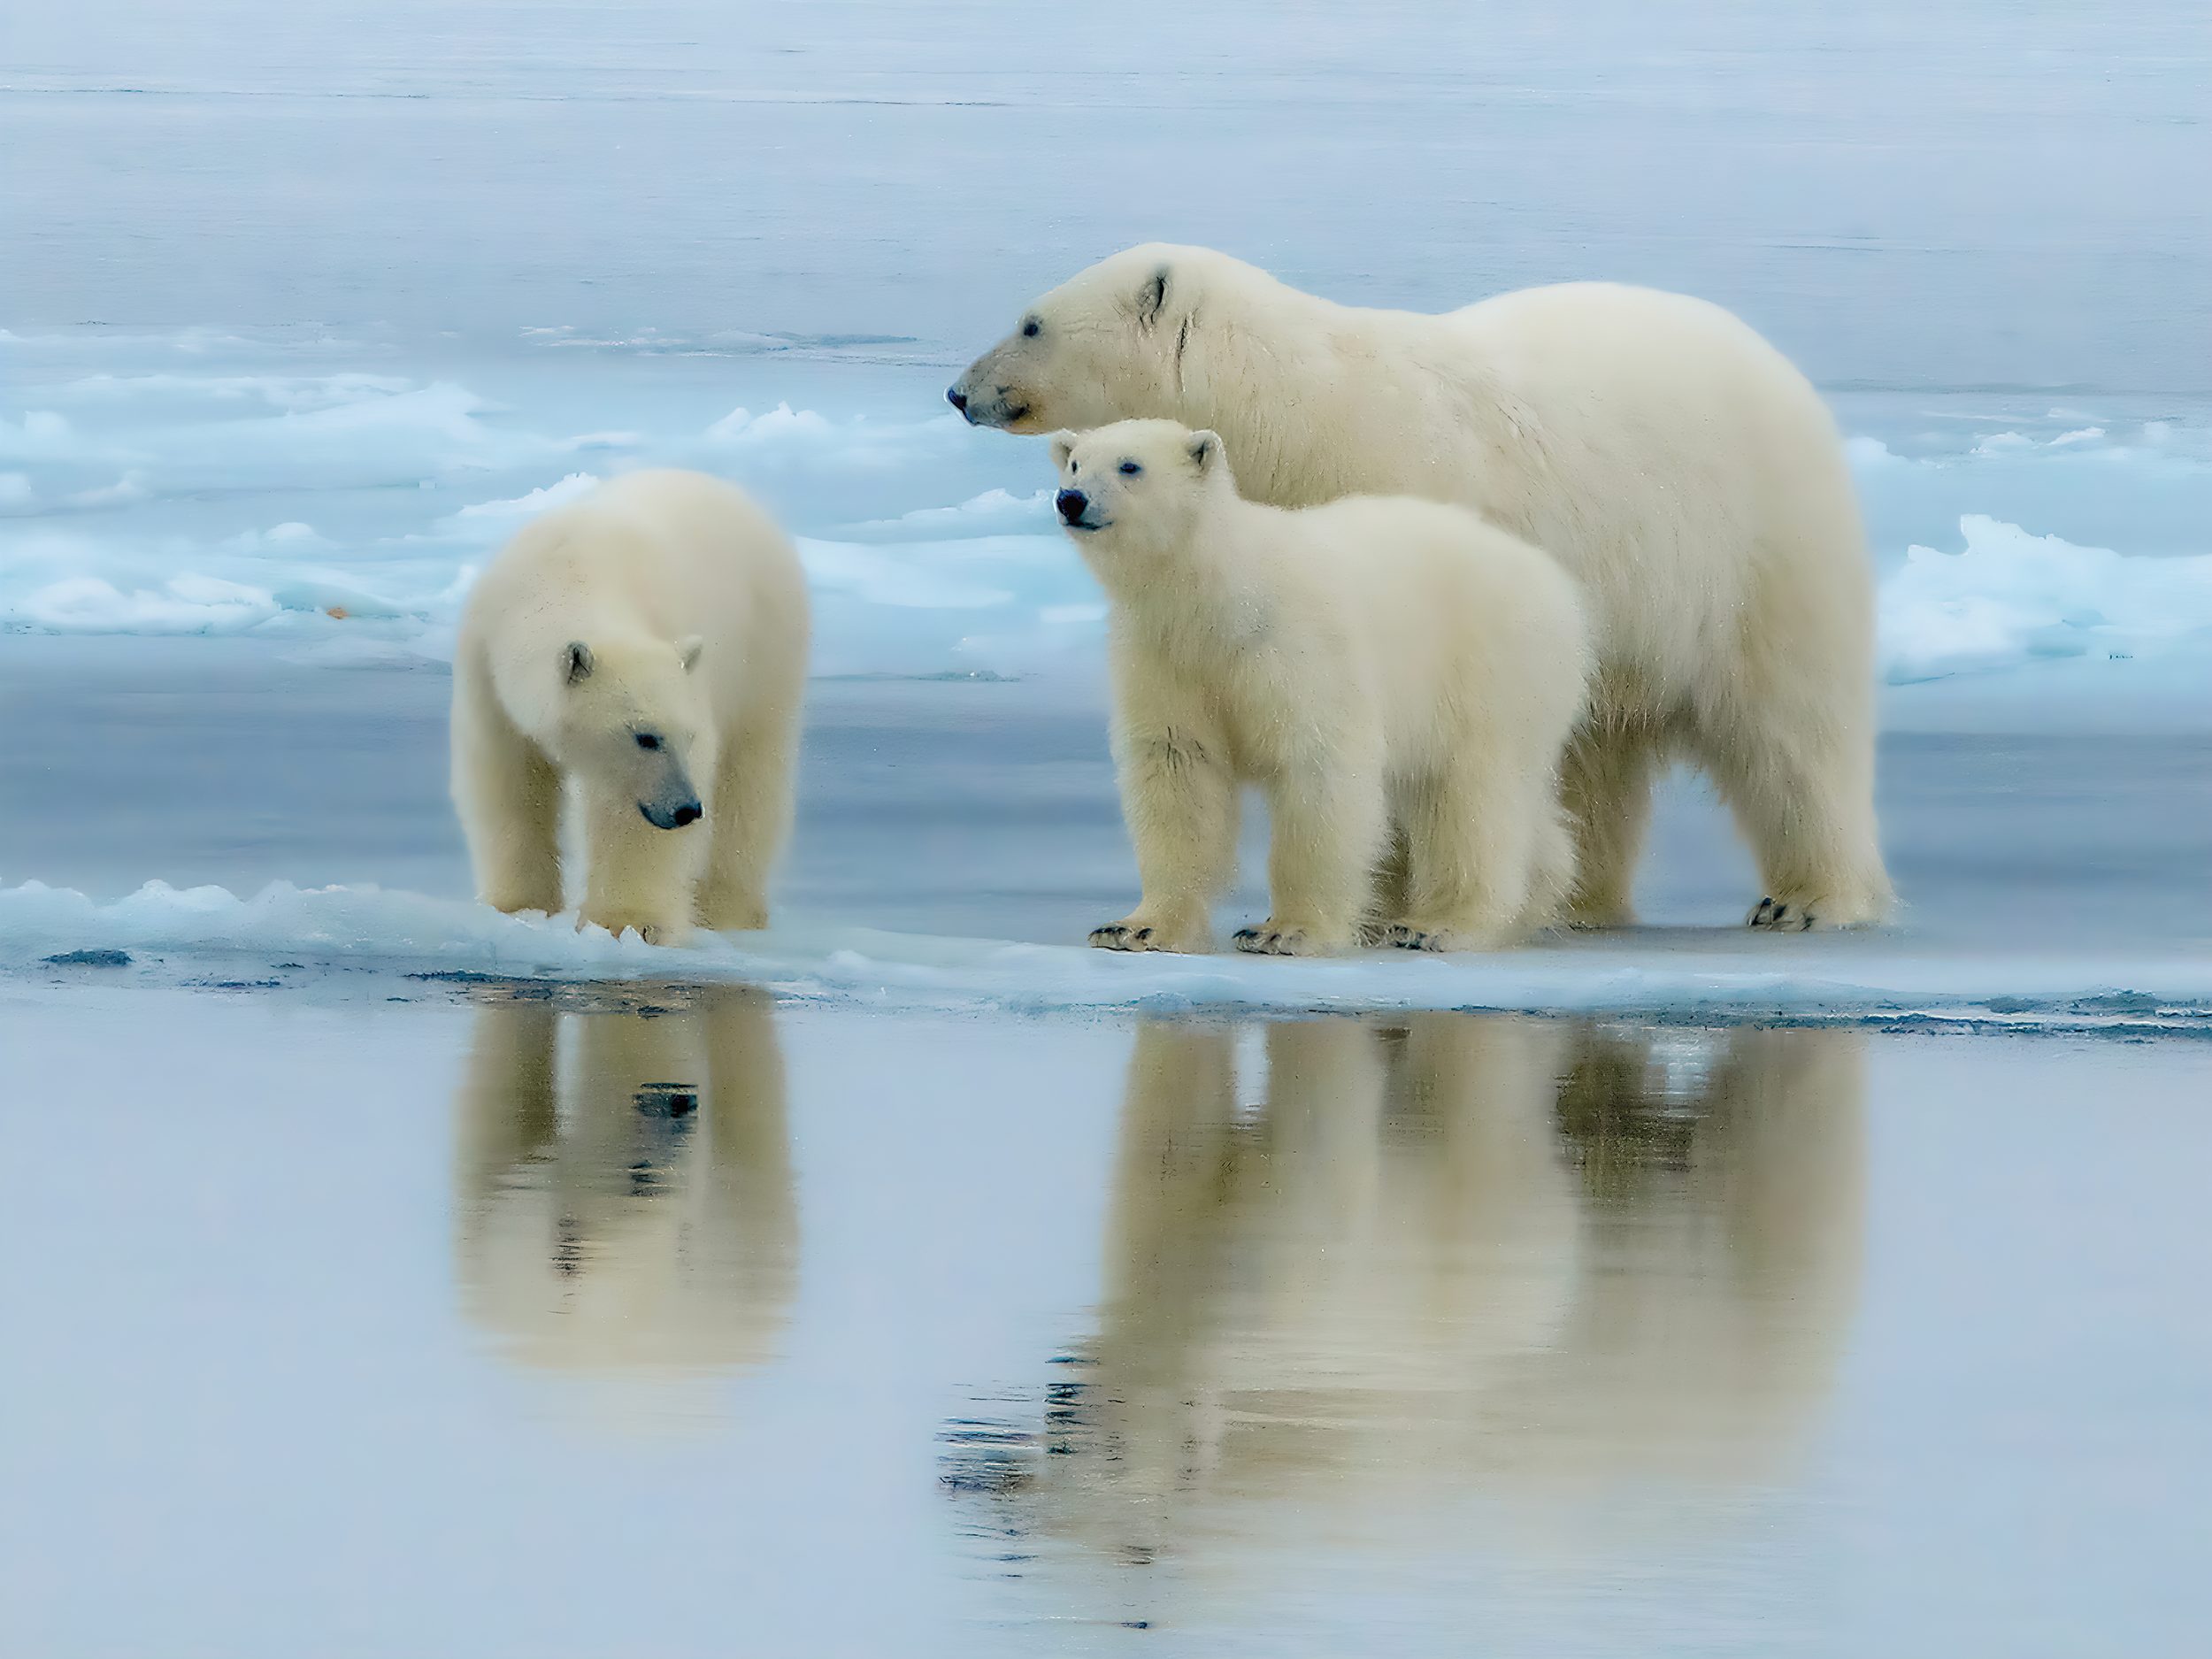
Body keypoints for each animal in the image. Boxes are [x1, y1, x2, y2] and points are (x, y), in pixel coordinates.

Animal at [447, 471, 805, 947]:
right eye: (645, 737)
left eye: (688, 736)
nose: (686, 810)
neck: (566, 575)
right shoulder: (486, 668)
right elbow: (506, 780)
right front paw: (518, 907)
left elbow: (627, 814)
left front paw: (630, 922)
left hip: (766, 646)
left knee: (752, 772)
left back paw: (726, 907)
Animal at [1053, 422, 1593, 956]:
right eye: (1075, 463)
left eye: (1130, 466)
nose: (1070, 499)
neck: (1221, 598)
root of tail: (1560, 586)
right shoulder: (1165, 659)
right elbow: (1177, 769)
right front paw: (1136, 928)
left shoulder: (1297, 648)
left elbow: (1318, 770)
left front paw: (1284, 931)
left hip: (1490, 667)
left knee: (1470, 795)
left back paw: (1440, 923)